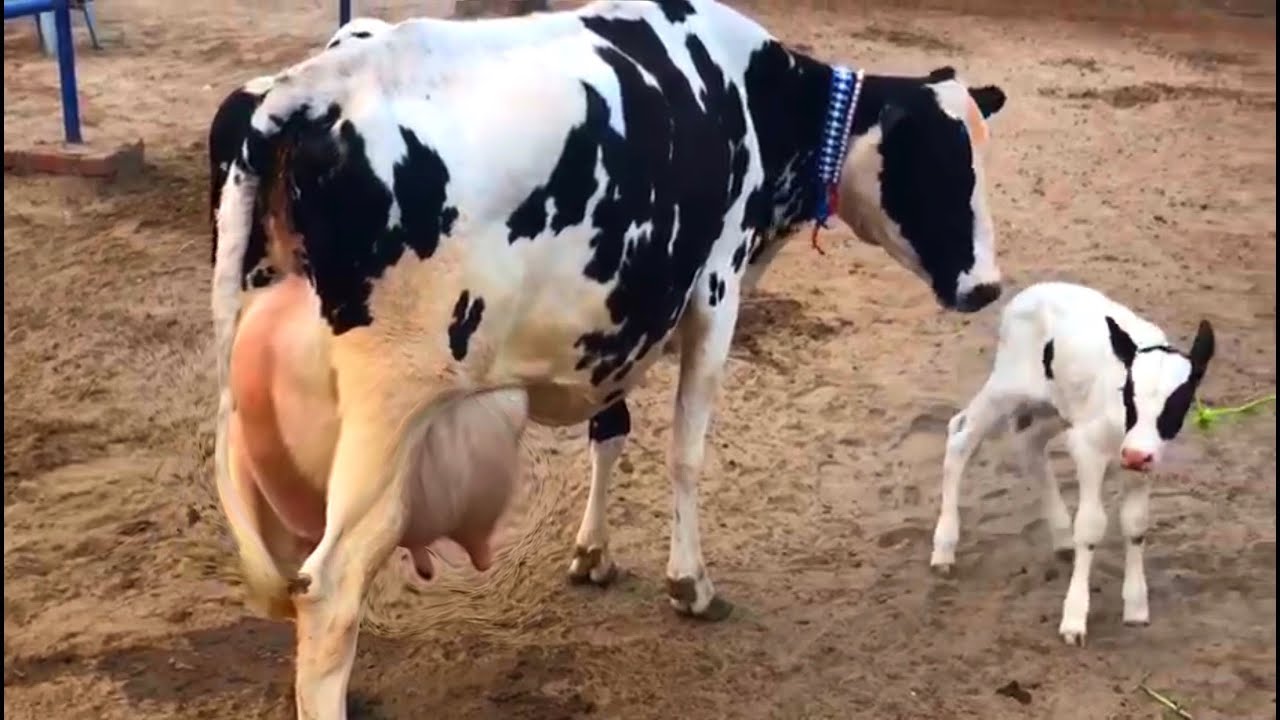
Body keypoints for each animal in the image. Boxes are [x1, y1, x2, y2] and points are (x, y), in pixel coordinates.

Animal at [209, 1, 1008, 716]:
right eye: (943, 166)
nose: (987, 286)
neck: (751, 98)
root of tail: (306, 90)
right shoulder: (714, 288)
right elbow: (687, 451)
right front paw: (690, 584)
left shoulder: (624, 313)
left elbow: (611, 430)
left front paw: (593, 553)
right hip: (386, 413)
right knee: (330, 586)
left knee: (302, 583)